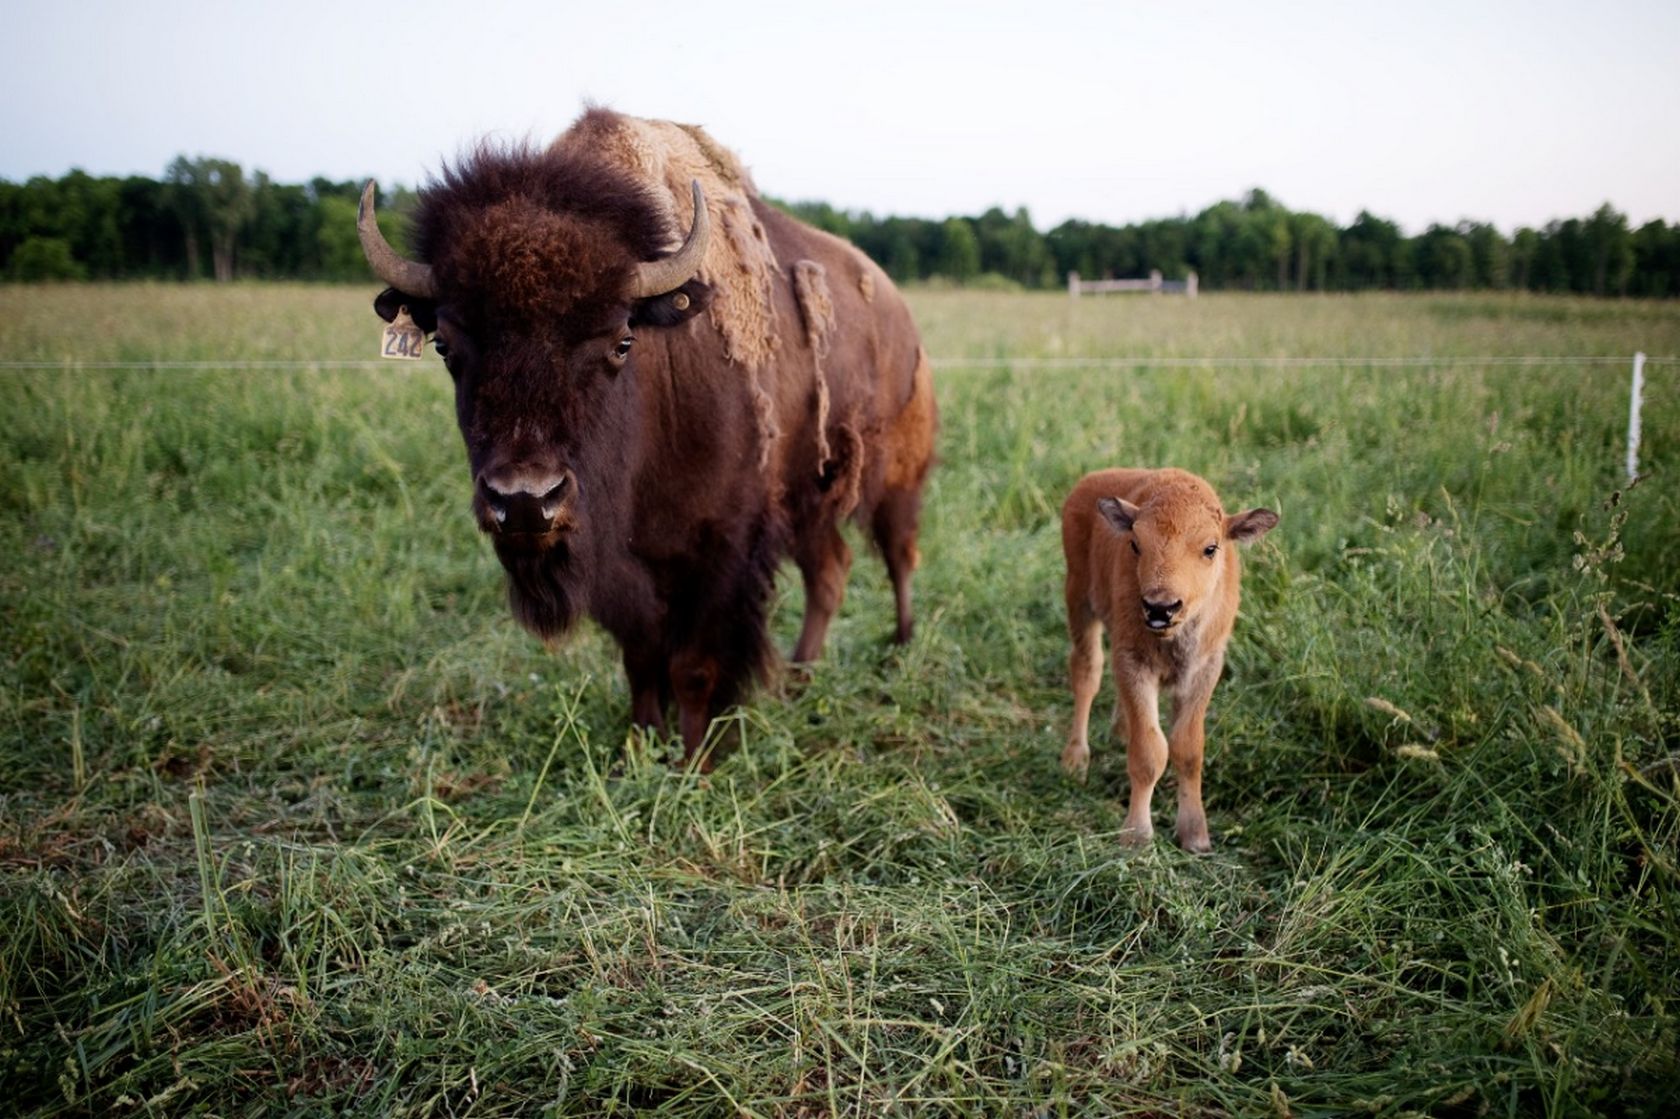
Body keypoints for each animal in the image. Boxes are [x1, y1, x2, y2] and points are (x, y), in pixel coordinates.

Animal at [359, 110, 936, 763]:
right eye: (445, 345)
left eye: (621, 342)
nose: (526, 500)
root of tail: (898, 310)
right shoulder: (621, 569)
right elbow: (641, 658)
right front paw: (640, 743)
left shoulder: (723, 550)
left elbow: (693, 665)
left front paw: (696, 759)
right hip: (809, 498)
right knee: (831, 571)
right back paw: (798, 678)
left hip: (895, 477)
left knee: (898, 555)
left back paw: (899, 648)